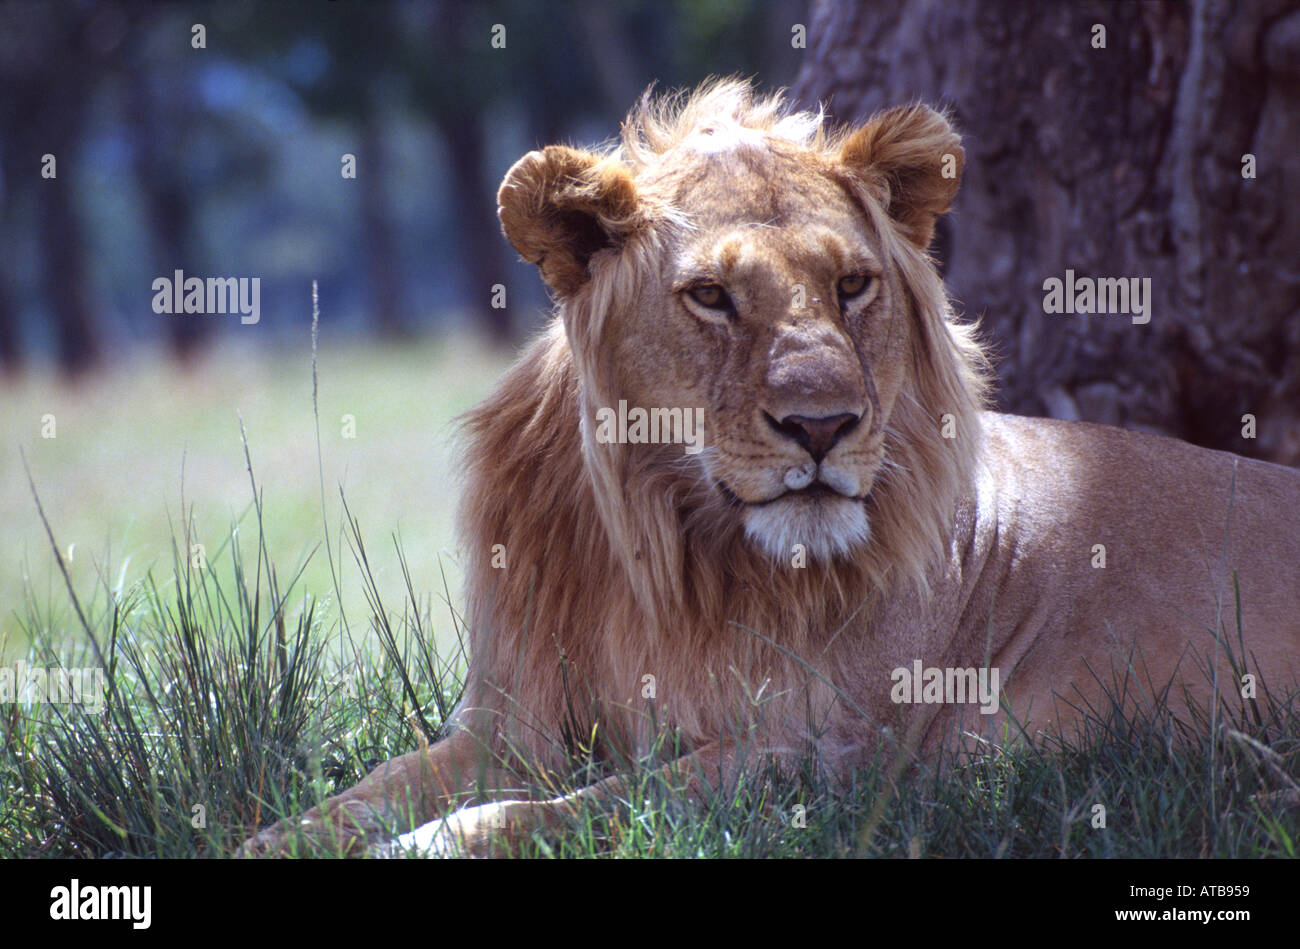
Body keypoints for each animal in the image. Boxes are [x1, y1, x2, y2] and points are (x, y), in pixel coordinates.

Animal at [239, 78, 1300, 857]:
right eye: (711, 295)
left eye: (853, 285)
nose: (823, 425)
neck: (663, 555)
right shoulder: (508, 723)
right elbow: (352, 799)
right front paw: (273, 841)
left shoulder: (833, 754)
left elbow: (577, 804)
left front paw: (422, 844)